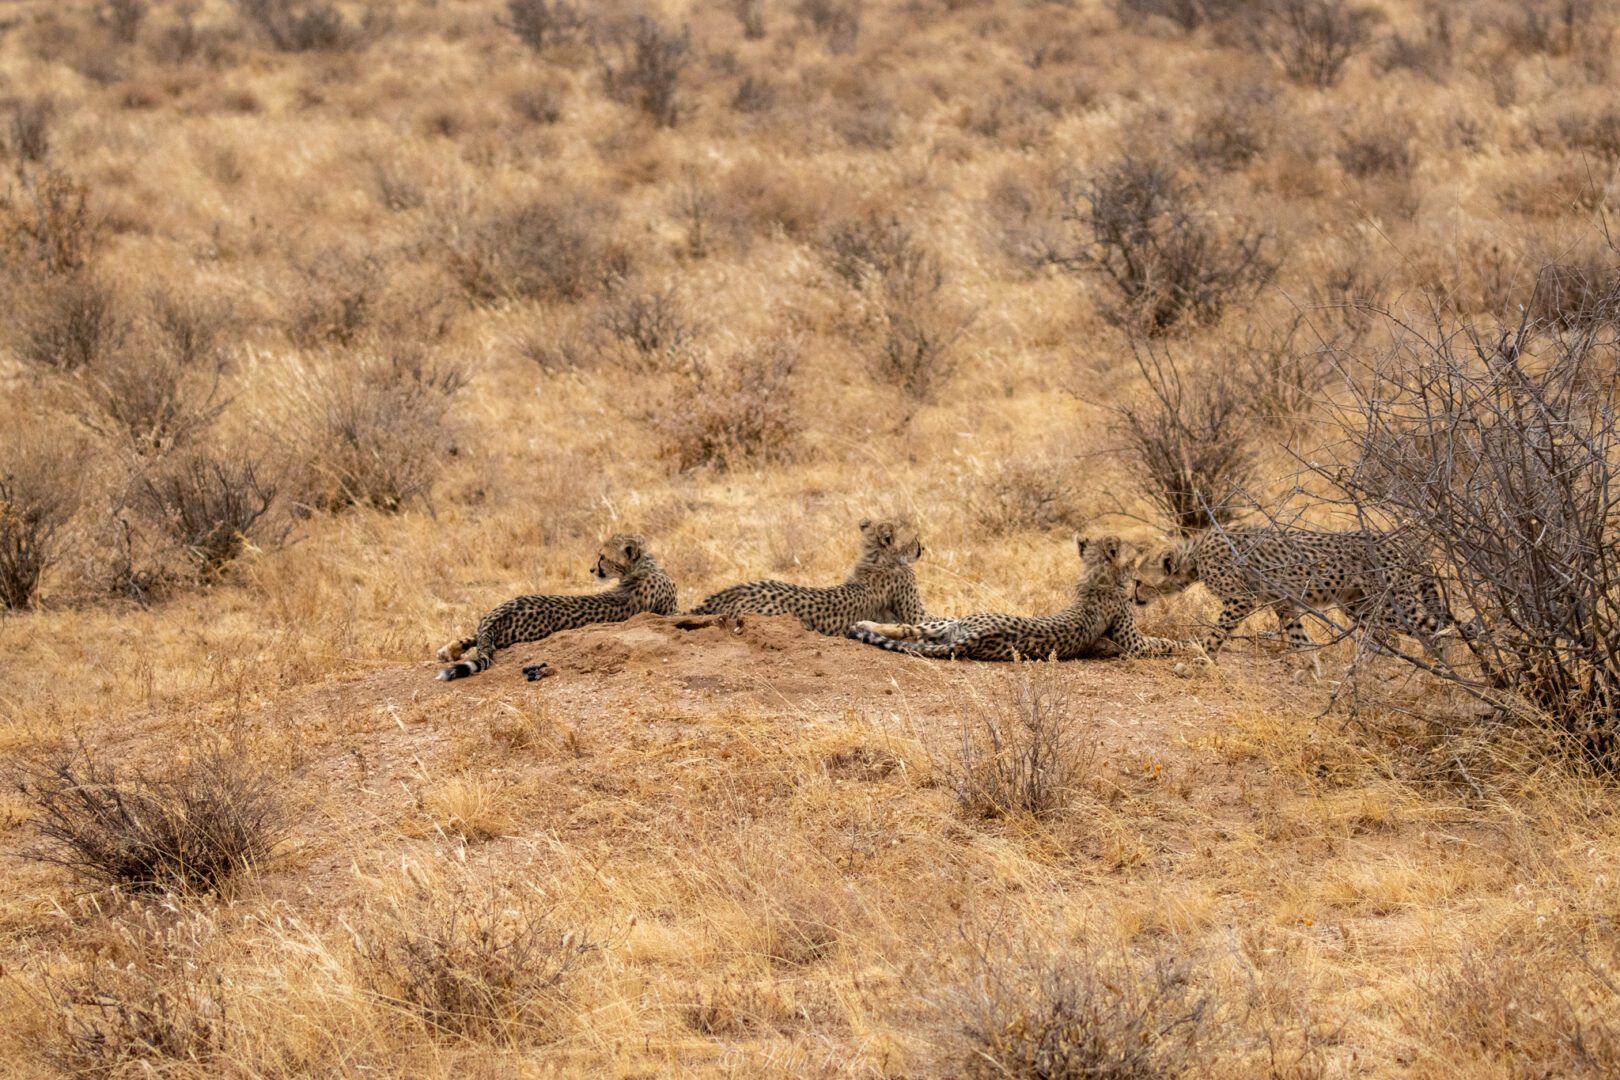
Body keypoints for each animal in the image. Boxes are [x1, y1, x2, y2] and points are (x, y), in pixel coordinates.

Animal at [434, 534, 673, 683]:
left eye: (602, 557)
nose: (591, 569)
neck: (641, 568)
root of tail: (498, 616)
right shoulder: (670, 613)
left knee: (474, 635)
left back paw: (448, 650)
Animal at [842, 537, 1198, 663]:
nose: (1138, 550)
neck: (1099, 575)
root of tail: (975, 636)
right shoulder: (1133, 641)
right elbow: (1162, 643)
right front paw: (1193, 645)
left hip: (951, 629)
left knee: (911, 631)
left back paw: (863, 625)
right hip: (957, 621)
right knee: (910, 626)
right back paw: (862, 623)